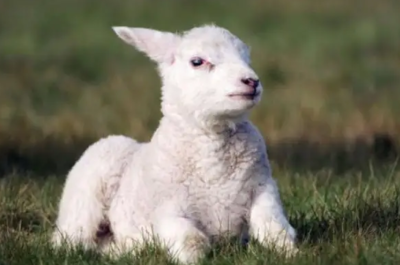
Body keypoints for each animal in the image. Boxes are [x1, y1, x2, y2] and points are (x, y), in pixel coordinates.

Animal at [50, 23, 296, 262]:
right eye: (197, 62)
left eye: (246, 57)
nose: (252, 81)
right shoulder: (167, 210)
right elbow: (193, 241)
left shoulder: (263, 189)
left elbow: (276, 229)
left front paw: (289, 253)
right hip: (86, 195)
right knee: (71, 239)